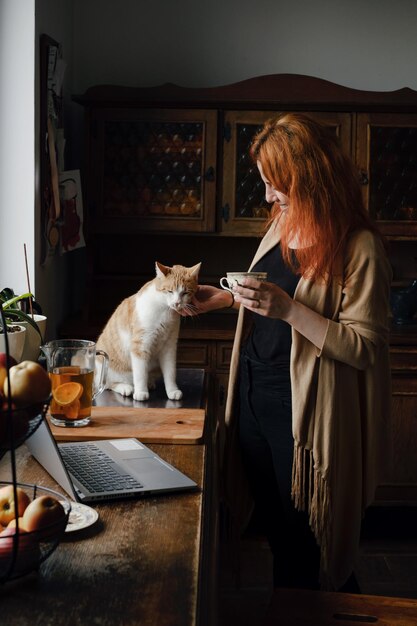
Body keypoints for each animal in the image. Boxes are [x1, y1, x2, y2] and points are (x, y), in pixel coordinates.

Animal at [97, 260, 202, 400]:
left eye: (185, 293)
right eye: (170, 291)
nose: (177, 303)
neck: (165, 311)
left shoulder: (169, 347)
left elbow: (170, 372)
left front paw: (172, 390)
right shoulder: (140, 345)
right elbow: (140, 374)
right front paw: (141, 392)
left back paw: (150, 383)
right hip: (107, 370)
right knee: (108, 384)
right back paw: (126, 387)